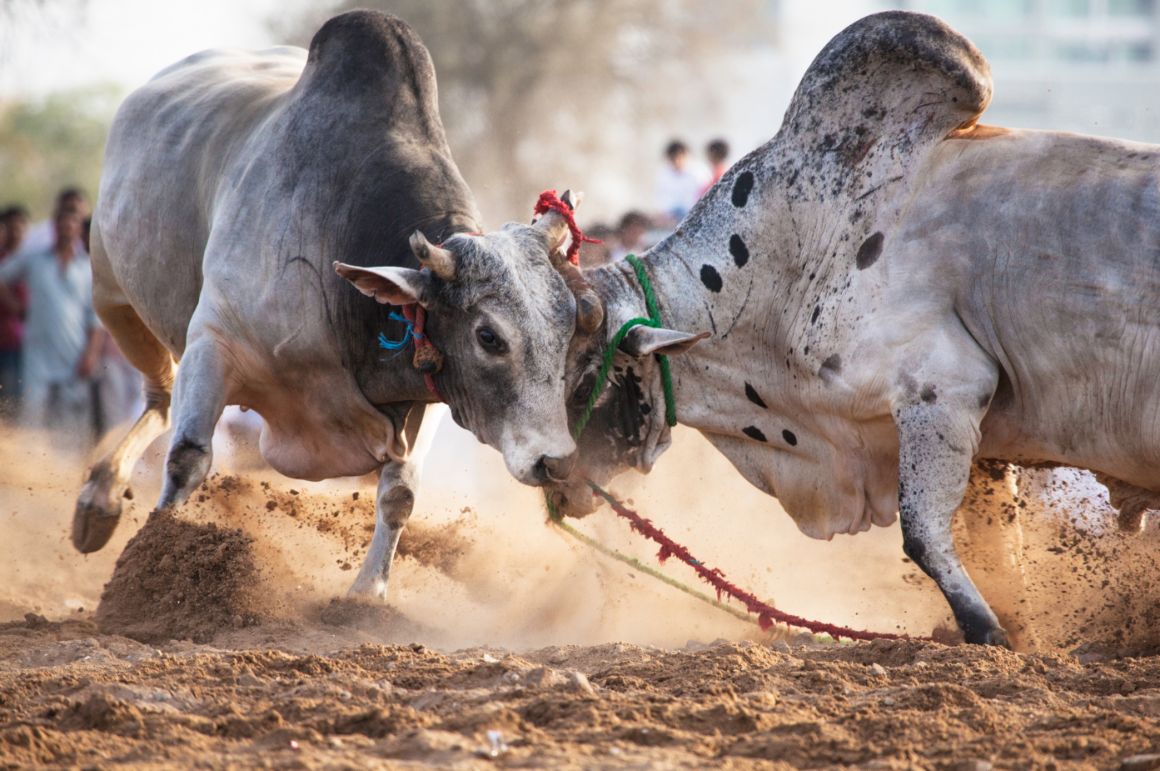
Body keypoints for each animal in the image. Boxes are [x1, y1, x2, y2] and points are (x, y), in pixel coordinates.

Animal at [70, 12, 580, 598]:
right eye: (489, 336)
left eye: (572, 327)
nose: (557, 462)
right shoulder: (212, 342)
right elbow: (186, 460)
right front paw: (147, 573)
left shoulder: (426, 395)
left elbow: (400, 493)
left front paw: (367, 594)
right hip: (112, 297)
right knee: (160, 394)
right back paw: (98, 503)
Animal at [489, 13, 1160, 649]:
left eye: (581, 382)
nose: (551, 476)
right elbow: (992, 542)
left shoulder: (940, 391)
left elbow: (921, 534)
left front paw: (987, 631)